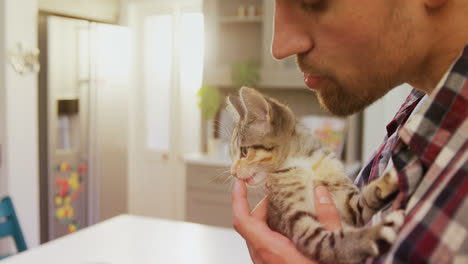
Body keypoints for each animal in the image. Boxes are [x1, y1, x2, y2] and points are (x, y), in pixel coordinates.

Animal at [229, 87, 404, 262]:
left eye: (244, 151)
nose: (233, 172)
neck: (306, 165)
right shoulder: (300, 226)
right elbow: (333, 243)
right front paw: (374, 235)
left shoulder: (349, 205)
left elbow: (362, 202)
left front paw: (388, 181)